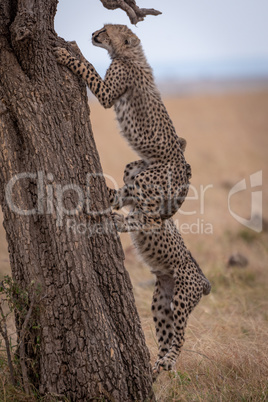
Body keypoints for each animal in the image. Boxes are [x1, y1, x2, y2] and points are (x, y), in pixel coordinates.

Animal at [54, 25, 192, 231]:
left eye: (106, 30)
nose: (94, 34)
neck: (128, 54)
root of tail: (184, 167)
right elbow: (89, 65)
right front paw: (75, 49)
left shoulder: (106, 94)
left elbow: (88, 68)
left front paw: (66, 56)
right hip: (133, 171)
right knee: (123, 197)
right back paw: (106, 193)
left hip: (146, 180)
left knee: (152, 221)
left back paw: (121, 222)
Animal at [112, 152, 210, 376]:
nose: (129, 171)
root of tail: (203, 279)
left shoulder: (152, 220)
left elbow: (136, 219)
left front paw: (119, 220)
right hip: (161, 305)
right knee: (166, 340)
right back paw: (156, 368)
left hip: (182, 298)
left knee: (180, 336)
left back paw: (168, 362)